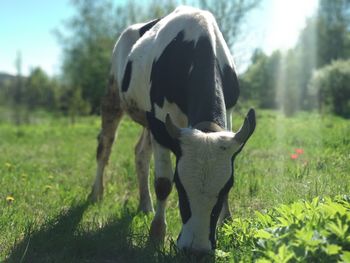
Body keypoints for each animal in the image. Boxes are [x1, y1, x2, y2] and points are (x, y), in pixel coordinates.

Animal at [89, 5, 256, 256]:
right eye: (180, 185)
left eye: (227, 186)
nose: (196, 251)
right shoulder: (160, 119)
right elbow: (162, 183)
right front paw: (156, 235)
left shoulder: (228, 112)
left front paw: (227, 222)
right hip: (114, 96)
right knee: (105, 146)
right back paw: (97, 193)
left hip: (147, 118)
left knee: (140, 153)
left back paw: (145, 205)